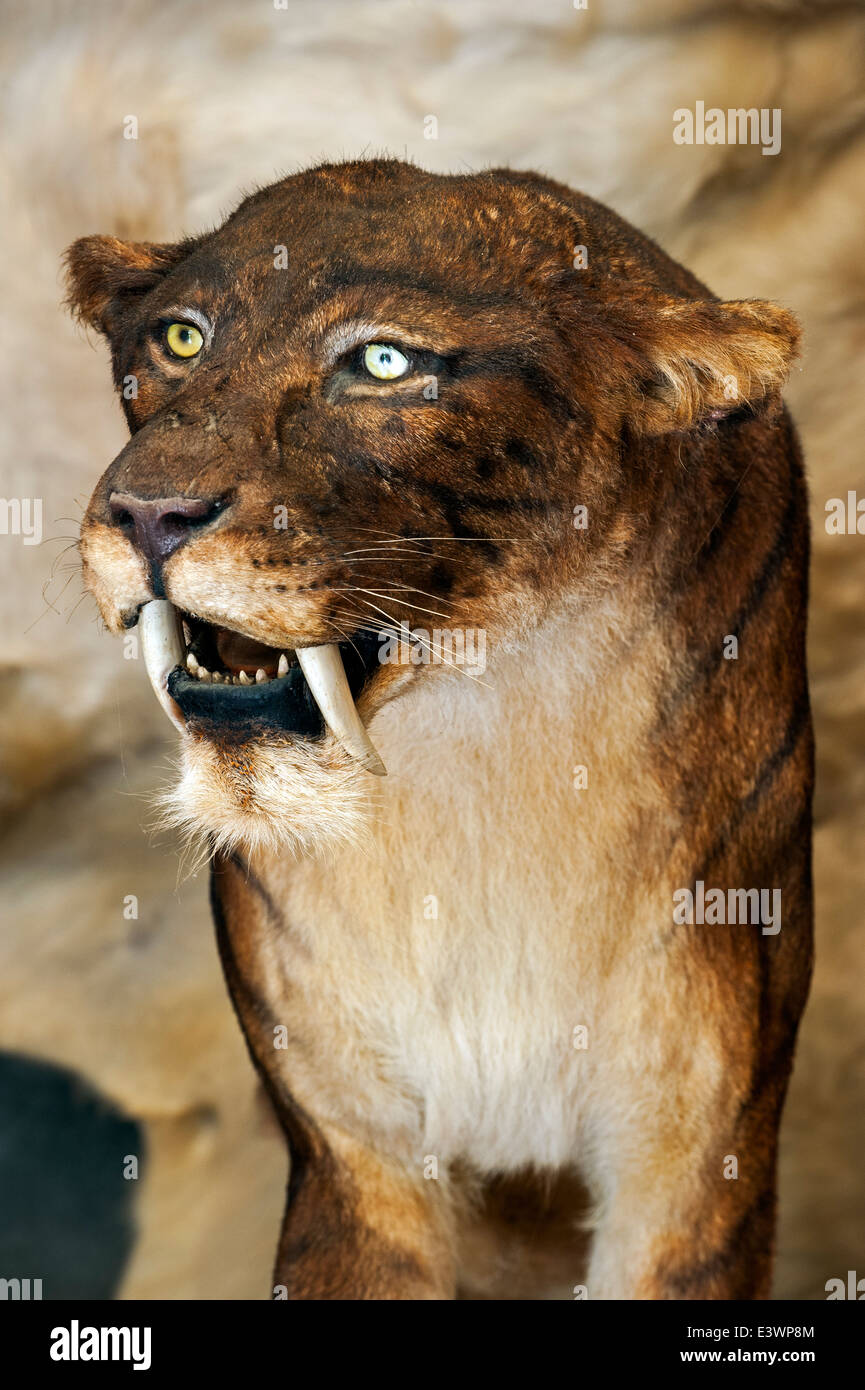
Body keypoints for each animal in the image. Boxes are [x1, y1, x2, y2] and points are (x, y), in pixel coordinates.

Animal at [64, 157, 813, 1299]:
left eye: (383, 363)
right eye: (180, 340)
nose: (148, 514)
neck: (478, 751)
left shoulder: (696, 1155)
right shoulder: (351, 1147)